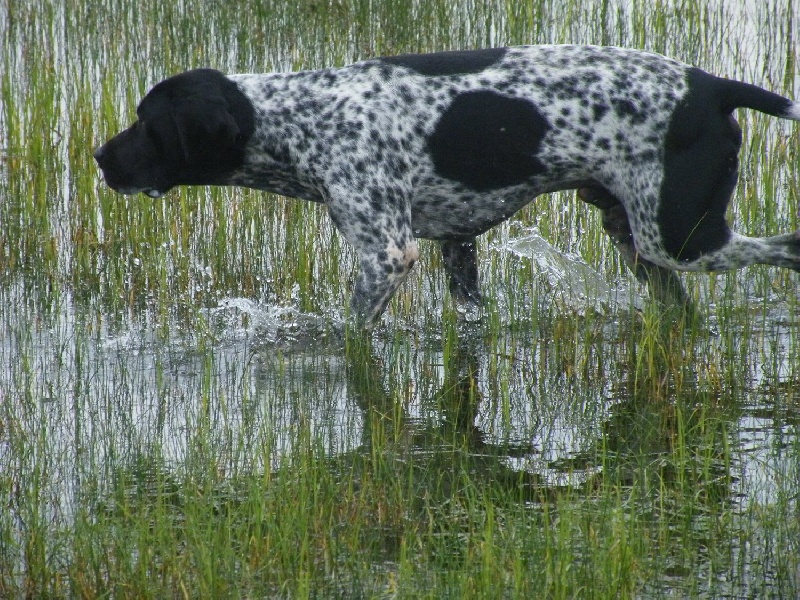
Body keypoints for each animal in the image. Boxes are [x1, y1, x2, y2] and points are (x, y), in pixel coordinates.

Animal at [95, 45, 800, 328]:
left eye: (147, 124)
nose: (99, 158)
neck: (297, 117)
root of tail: (712, 87)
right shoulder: (457, 246)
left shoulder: (387, 256)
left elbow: (348, 337)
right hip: (640, 241)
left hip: (681, 238)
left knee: (788, 246)